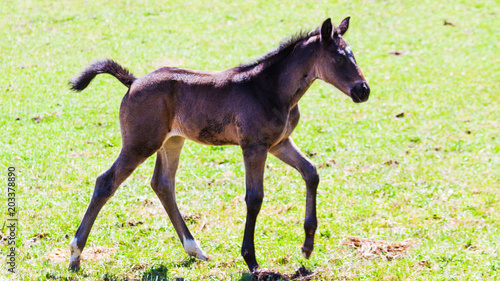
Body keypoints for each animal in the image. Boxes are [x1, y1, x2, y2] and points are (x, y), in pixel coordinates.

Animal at [68, 17, 370, 272]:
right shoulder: (254, 146)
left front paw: (307, 246)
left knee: (163, 184)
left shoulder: (279, 143)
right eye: (338, 57)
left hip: (172, 141)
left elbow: (311, 173)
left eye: (353, 55)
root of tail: (132, 82)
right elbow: (254, 197)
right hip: (140, 143)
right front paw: (251, 259)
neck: (270, 88)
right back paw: (75, 255)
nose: (363, 90)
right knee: (106, 181)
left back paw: (195, 249)